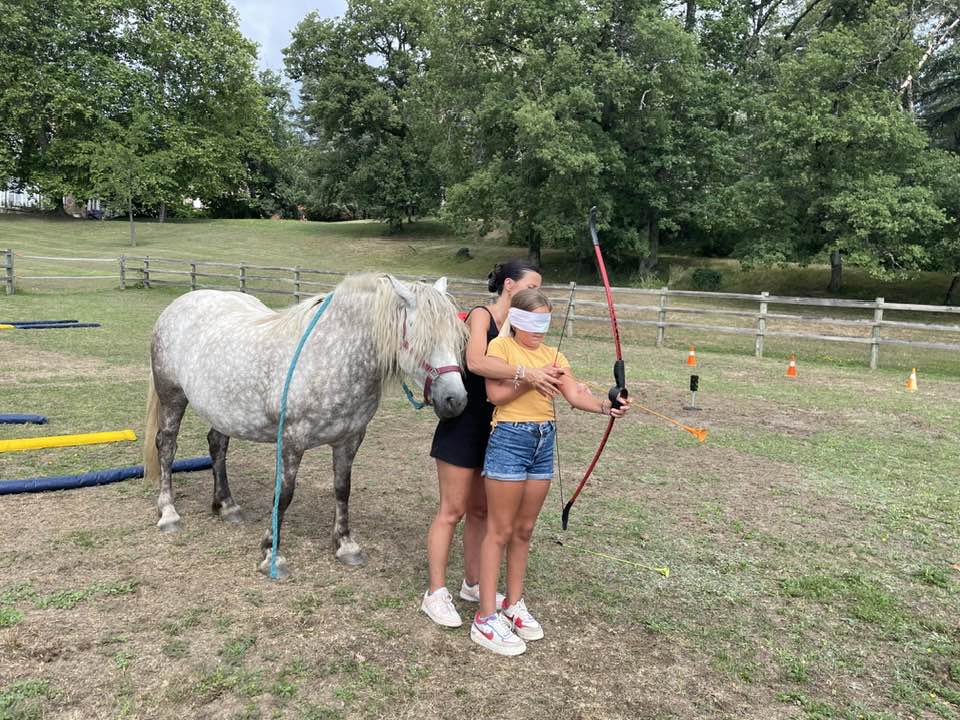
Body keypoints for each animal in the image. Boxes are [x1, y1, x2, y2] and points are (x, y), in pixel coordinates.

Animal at [142, 272, 468, 576]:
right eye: (421, 338)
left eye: (457, 339)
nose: (456, 400)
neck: (330, 355)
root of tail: (177, 305)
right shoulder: (292, 440)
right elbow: (284, 494)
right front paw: (271, 553)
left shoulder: (349, 440)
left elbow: (342, 489)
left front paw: (345, 545)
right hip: (172, 397)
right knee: (167, 445)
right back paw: (168, 512)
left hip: (223, 412)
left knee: (217, 445)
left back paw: (226, 505)